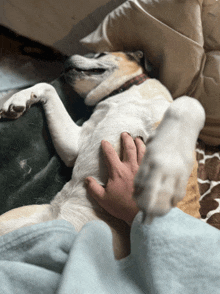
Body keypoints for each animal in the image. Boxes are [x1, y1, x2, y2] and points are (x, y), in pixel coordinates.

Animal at [0, 51, 205, 258]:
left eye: (101, 54)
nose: (67, 58)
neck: (125, 91)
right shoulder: (75, 144)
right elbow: (48, 86)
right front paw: (19, 98)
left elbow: (188, 105)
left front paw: (166, 170)